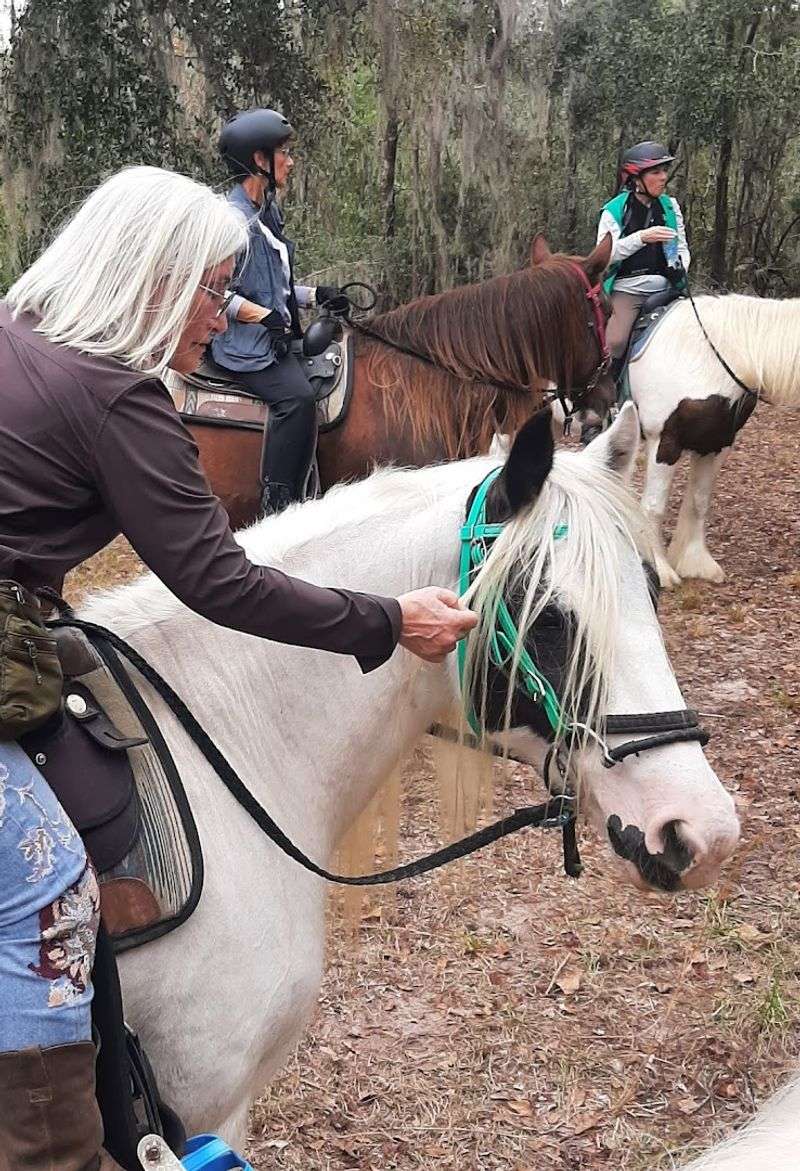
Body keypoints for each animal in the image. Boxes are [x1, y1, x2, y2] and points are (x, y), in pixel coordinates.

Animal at [627, 292, 800, 588]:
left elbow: (699, 502)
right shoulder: (665, 441)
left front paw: (697, 564)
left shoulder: (714, 444)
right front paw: (660, 568)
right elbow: (654, 506)